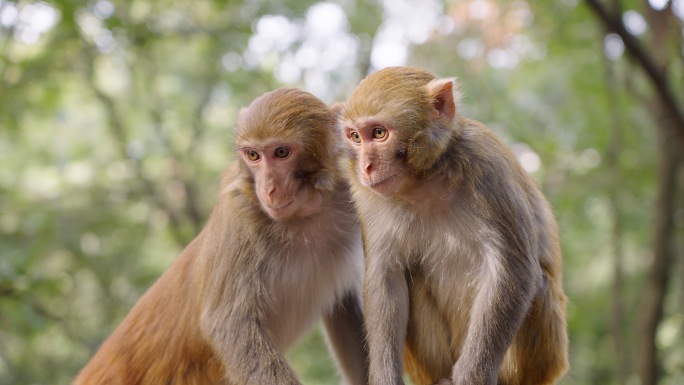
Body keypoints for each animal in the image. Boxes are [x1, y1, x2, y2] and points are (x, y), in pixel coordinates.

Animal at [75, 88, 368, 384]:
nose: (268, 189)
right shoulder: (238, 214)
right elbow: (229, 324)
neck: (306, 216)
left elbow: (345, 305)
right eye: (253, 155)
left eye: (281, 152)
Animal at [336, 67, 568, 384]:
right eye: (355, 137)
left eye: (379, 133)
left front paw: (473, 376)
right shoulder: (366, 197)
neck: (425, 179)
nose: (365, 167)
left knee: (540, 285)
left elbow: (514, 270)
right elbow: (386, 278)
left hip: (547, 359)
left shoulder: (488, 166)